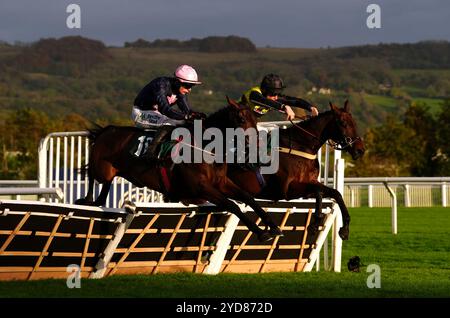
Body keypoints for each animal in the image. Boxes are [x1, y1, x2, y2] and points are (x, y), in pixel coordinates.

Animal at [77, 97, 282, 241]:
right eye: (240, 119)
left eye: (255, 119)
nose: (256, 145)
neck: (206, 147)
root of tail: (107, 130)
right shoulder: (202, 188)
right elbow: (232, 205)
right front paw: (261, 233)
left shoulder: (222, 183)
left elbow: (248, 198)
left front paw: (273, 227)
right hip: (102, 169)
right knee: (92, 175)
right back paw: (85, 199)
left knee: (102, 192)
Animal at [229, 100, 366, 240]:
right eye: (343, 123)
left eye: (354, 123)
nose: (360, 150)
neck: (300, 146)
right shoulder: (287, 190)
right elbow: (319, 191)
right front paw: (315, 222)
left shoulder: (308, 184)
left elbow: (335, 193)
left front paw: (344, 229)